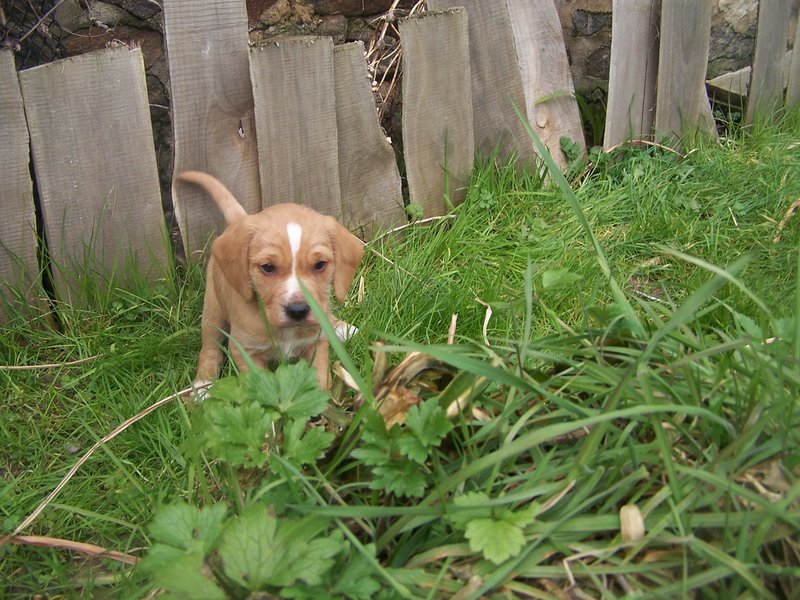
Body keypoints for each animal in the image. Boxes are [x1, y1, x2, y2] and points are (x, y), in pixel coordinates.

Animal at [180, 171, 364, 392]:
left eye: (320, 265)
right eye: (268, 267)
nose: (298, 311)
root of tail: (239, 220)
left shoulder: (316, 344)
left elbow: (319, 379)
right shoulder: (245, 351)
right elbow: (260, 384)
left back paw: (339, 327)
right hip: (213, 309)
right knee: (209, 346)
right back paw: (203, 385)